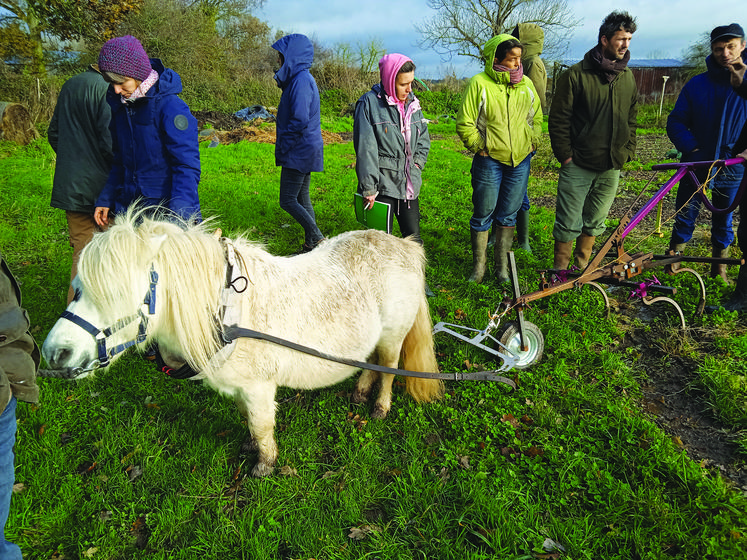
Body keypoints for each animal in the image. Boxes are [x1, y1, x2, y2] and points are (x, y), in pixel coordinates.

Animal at [42, 209, 444, 476]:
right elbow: (247, 419)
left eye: (118, 294)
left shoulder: (259, 387)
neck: (226, 311)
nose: (55, 353)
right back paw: (360, 392)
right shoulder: (240, 387)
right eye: (78, 288)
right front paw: (250, 446)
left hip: (393, 335)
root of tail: (405, 245)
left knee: (388, 368)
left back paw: (379, 407)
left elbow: (262, 424)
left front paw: (264, 465)